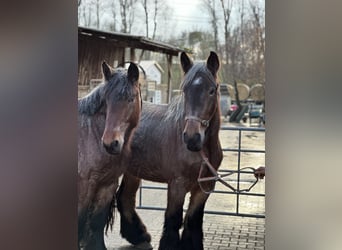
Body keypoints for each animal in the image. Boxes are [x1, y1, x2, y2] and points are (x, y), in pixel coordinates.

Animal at [78, 61, 141, 249]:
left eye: (130, 99)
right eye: (107, 101)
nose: (110, 143)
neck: (90, 133)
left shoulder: (108, 184)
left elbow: (97, 222)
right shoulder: (84, 186)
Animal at [113, 51, 223, 249]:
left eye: (211, 90)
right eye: (185, 90)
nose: (191, 138)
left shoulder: (204, 188)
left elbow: (193, 220)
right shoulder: (177, 185)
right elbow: (173, 219)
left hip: (132, 171)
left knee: (125, 197)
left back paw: (139, 235)